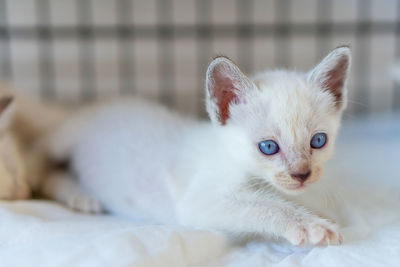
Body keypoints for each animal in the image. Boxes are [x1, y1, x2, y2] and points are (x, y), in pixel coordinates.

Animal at [43, 46, 350, 247]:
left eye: (318, 141)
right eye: (268, 147)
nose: (302, 174)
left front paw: (320, 214)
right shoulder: (199, 200)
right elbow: (265, 207)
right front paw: (311, 225)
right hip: (61, 139)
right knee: (44, 167)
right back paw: (80, 195)